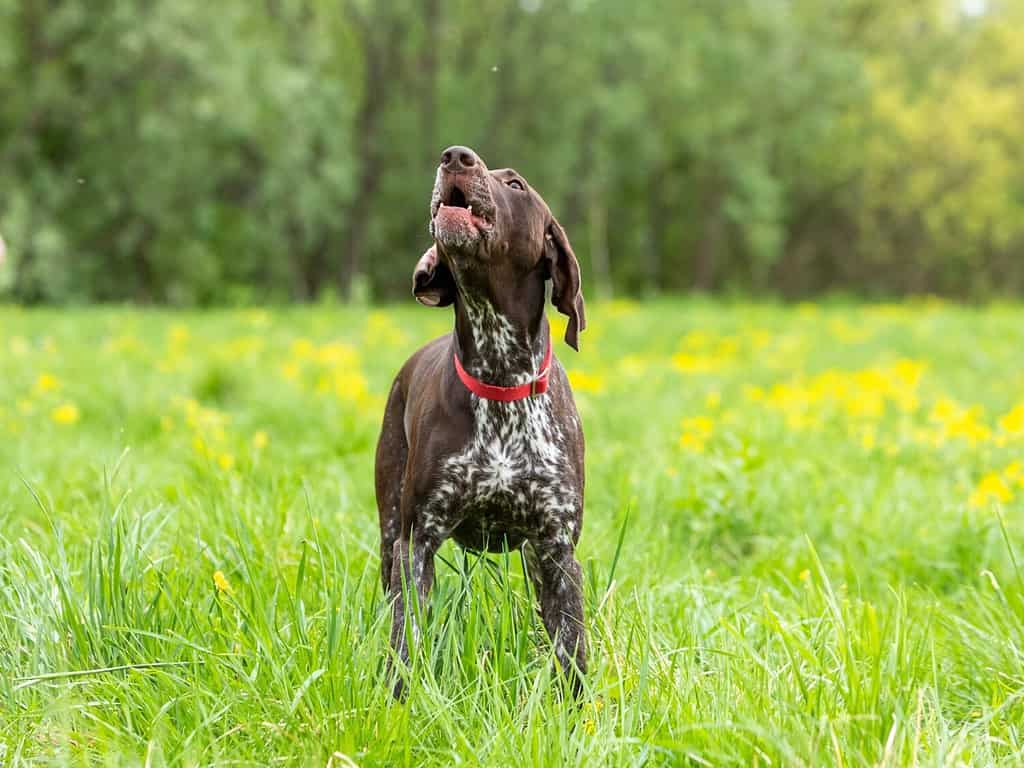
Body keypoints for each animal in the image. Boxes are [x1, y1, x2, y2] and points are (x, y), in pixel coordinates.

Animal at [376, 143, 589, 696]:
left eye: (516, 185)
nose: (455, 156)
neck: (500, 375)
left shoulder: (557, 550)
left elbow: (571, 650)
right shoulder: (416, 543)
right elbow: (405, 638)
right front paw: (398, 698)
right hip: (389, 530)